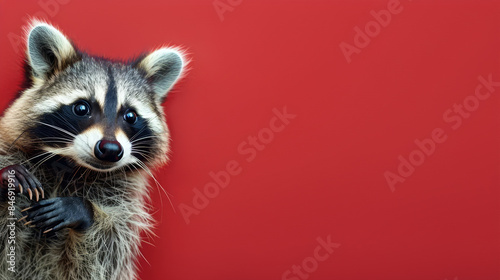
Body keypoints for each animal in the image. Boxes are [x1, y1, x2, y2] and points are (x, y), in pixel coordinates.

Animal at [0, 20, 186, 278]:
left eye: (130, 116)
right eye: (81, 108)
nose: (110, 149)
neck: (69, 165)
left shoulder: (121, 200)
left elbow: (105, 252)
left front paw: (81, 210)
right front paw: (7, 176)